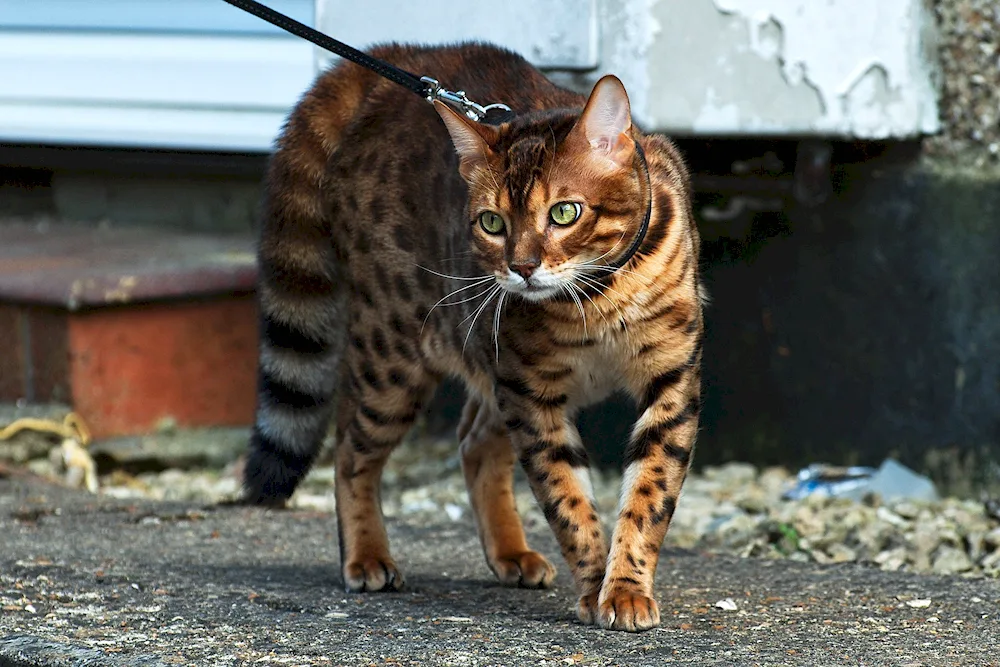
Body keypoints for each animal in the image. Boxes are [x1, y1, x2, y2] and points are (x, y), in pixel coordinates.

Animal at [247, 44, 704, 636]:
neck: (597, 298)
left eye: (565, 212)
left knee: (475, 441)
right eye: (491, 222)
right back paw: (367, 555)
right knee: (350, 448)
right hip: (396, 356)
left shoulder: (671, 381)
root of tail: (395, 63)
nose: (522, 268)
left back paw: (510, 553)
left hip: (489, 365)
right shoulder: (531, 393)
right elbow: (567, 498)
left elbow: (649, 492)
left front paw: (625, 586)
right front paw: (595, 586)